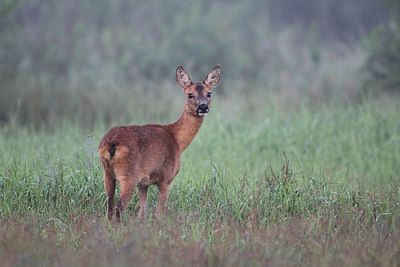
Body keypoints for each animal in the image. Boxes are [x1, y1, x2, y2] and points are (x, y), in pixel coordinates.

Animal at [98, 65, 220, 222]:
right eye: (190, 94)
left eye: (209, 93)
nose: (203, 107)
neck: (177, 140)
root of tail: (112, 144)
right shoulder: (166, 177)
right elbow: (160, 212)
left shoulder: (144, 183)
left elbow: (142, 212)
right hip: (129, 175)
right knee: (119, 208)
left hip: (107, 173)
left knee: (109, 207)